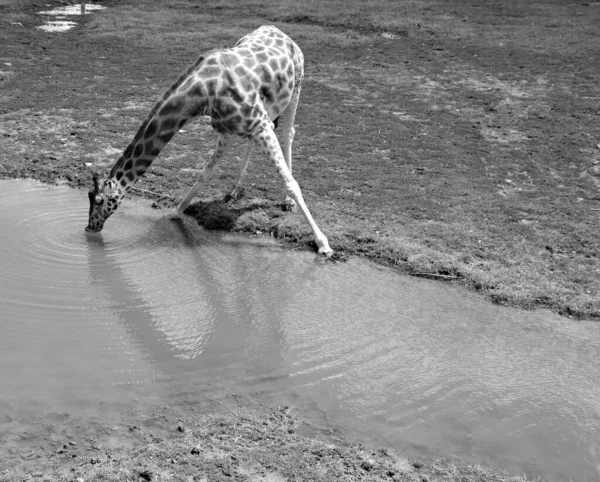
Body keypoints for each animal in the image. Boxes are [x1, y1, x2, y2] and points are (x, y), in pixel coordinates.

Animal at [85, 25, 332, 256]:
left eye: (99, 200)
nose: (89, 228)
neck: (204, 94)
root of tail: (282, 33)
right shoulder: (230, 130)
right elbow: (204, 174)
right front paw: (175, 212)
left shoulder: (259, 125)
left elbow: (291, 183)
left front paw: (323, 243)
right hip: (265, 114)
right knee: (256, 139)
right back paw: (234, 190)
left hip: (296, 88)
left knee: (288, 133)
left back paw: (287, 203)